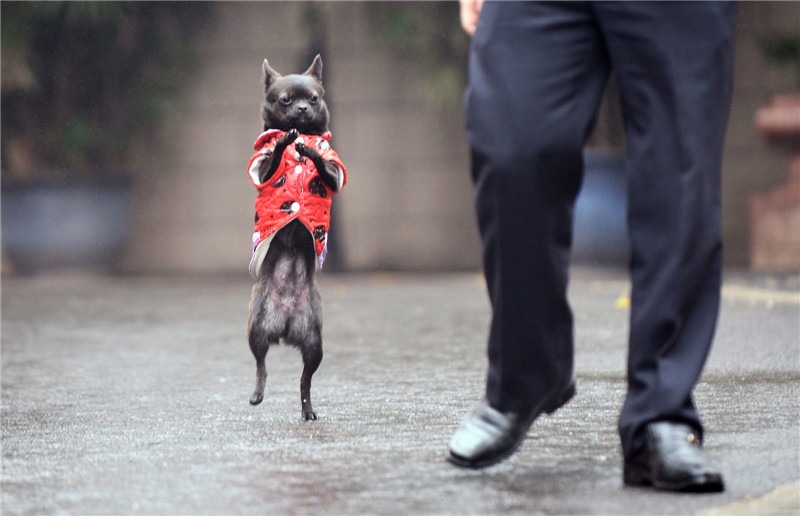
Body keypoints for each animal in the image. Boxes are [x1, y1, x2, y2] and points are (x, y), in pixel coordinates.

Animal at [247, 55, 346, 420]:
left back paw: (308, 411)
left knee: (305, 381)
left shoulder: (335, 173)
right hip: (257, 329)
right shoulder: (261, 170)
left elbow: (323, 163)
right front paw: (283, 142)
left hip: (314, 343)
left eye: (314, 99)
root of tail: (287, 321)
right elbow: (274, 157)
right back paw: (257, 394)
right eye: (286, 100)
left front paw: (307, 149)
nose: (303, 109)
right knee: (261, 365)